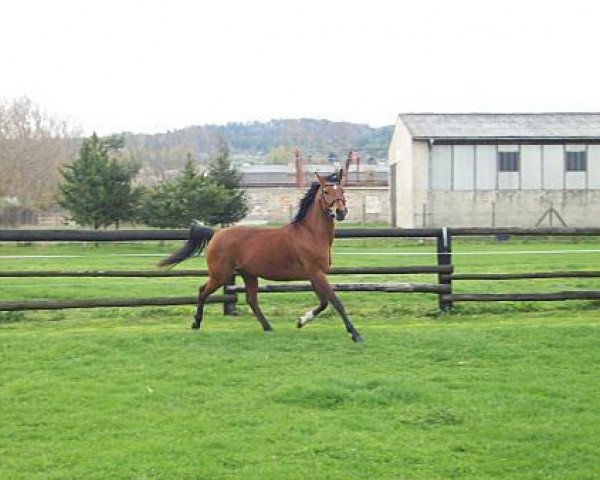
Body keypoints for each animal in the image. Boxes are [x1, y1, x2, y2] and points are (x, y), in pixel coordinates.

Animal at [159, 169, 364, 342]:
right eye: (326, 192)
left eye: (343, 190)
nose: (341, 212)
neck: (310, 234)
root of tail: (216, 233)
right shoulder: (316, 273)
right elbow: (336, 302)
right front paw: (355, 334)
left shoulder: (314, 275)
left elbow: (323, 303)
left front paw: (300, 321)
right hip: (221, 275)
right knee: (203, 291)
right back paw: (196, 323)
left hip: (248, 275)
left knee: (251, 300)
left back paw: (268, 327)